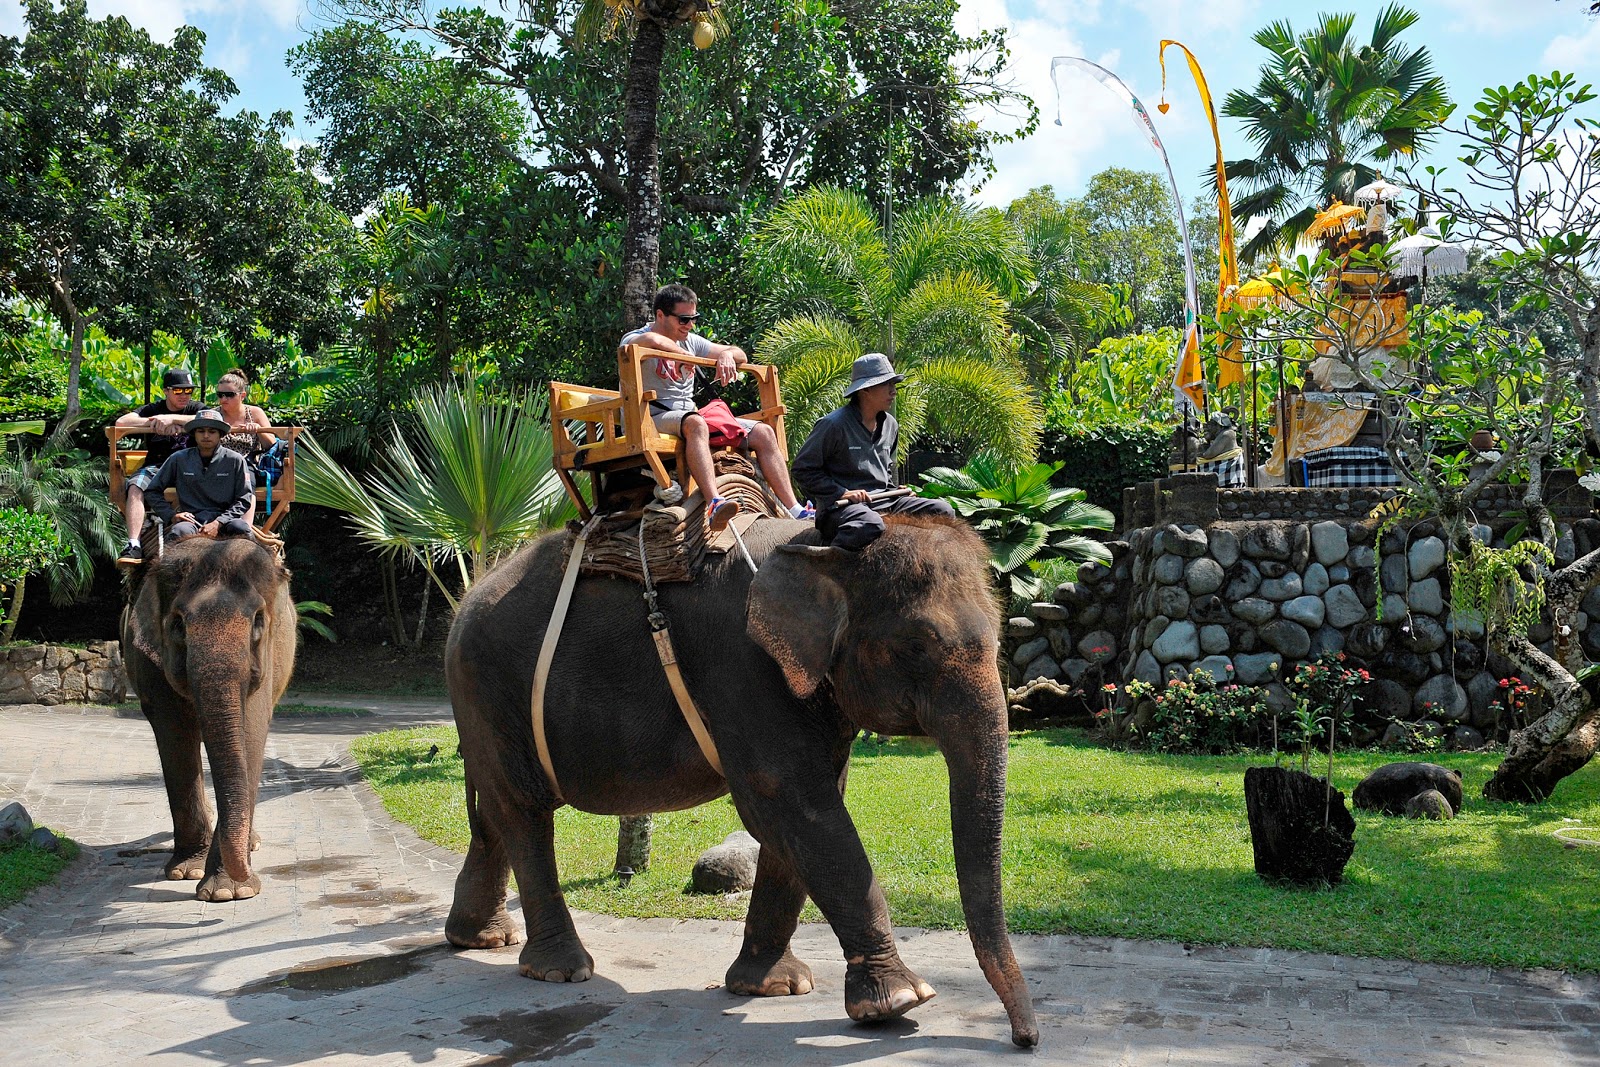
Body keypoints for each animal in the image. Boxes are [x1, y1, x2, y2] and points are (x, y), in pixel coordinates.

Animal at [121, 534, 297, 902]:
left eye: (258, 621)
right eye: (177, 625)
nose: (247, 873)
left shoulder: (268, 656)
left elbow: (250, 731)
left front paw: (230, 892)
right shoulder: (149, 661)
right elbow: (174, 734)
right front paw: (188, 873)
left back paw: (251, 843)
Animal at [441, 511, 1036, 1049]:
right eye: (915, 647)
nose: (1024, 1039)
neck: (822, 546)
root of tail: (470, 596)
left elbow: (805, 811)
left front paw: (774, 987)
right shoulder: (743, 669)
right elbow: (791, 803)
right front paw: (901, 1001)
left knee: (494, 810)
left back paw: (480, 939)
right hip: (486, 685)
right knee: (523, 810)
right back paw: (561, 970)